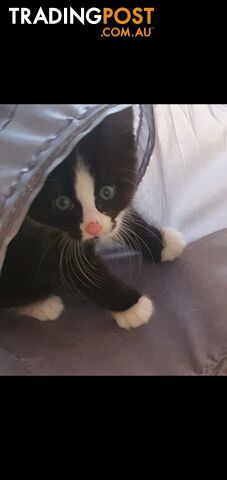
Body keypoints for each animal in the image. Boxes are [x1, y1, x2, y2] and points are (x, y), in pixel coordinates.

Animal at [0, 107, 184, 328]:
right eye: (62, 203)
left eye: (107, 192)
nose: (93, 228)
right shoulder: (34, 242)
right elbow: (80, 274)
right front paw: (132, 307)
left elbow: (124, 217)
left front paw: (163, 242)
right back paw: (42, 304)